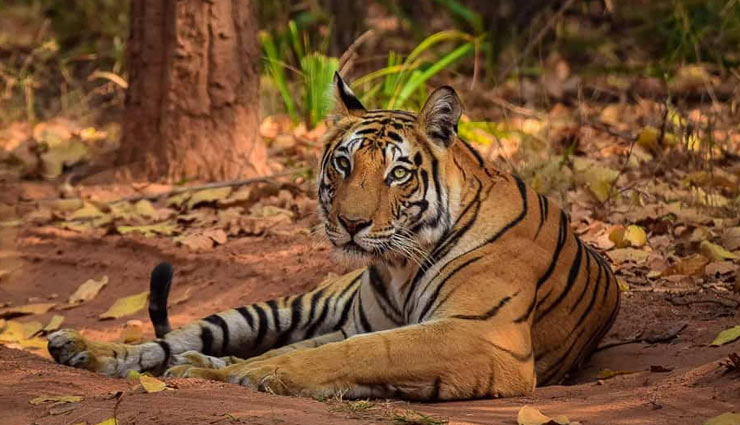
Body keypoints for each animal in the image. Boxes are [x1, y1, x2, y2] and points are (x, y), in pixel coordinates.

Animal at [48, 72, 620, 401]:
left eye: (397, 173)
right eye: (343, 164)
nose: (350, 223)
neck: (400, 264)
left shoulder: (482, 336)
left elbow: (359, 353)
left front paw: (249, 375)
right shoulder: (363, 324)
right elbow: (335, 350)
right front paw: (238, 372)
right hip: (285, 307)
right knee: (176, 338)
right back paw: (82, 349)